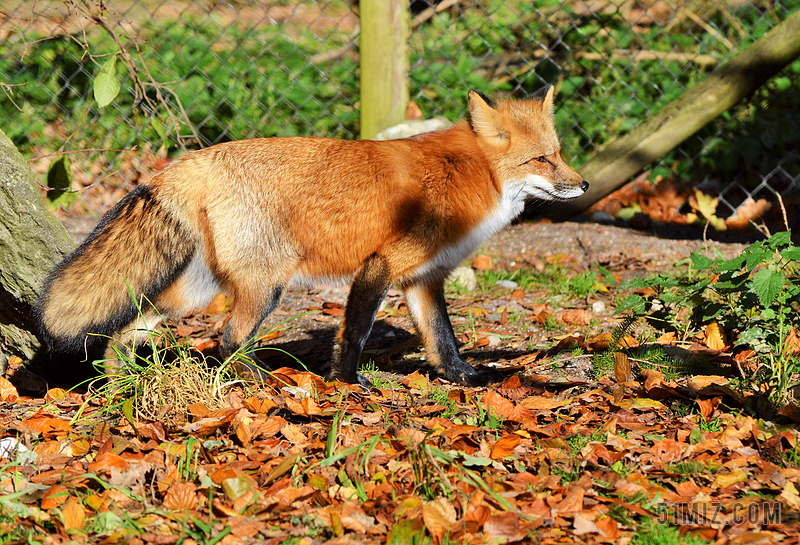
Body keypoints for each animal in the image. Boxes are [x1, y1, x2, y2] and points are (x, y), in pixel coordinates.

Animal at [36, 85, 588, 384]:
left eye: (559, 153)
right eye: (542, 159)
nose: (583, 184)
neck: (470, 173)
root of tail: (193, 159)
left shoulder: (423, 278)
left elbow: (443, 339)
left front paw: (467, 379)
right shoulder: (380, 264)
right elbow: (356, 331)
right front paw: (346, 383)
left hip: (196, 290)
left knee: (131, 328)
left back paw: (122, 380)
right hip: (265, 287)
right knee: (228, 342)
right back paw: (266, 382)